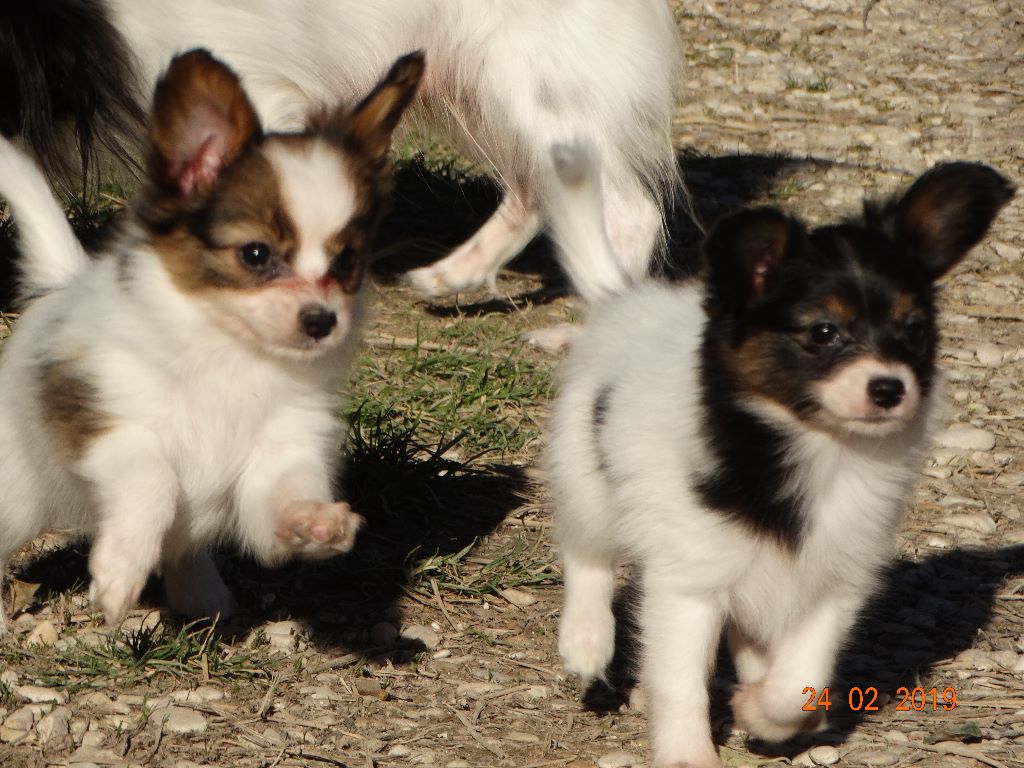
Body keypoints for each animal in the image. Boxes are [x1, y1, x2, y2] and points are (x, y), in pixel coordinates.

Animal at [0, 49, 423, 638]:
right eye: (255, 254)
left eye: (346, 262)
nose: (321, 320)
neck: (231, 356)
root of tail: (61, 284)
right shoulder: (105, 416)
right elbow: (152, 476)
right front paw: (121, 570)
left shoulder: (279, 451)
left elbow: (281, 500)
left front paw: (314, 521)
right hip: (17, 495)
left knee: (184, 545)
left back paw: (199, 593)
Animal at [548, 145, 1011, 768]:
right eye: (823, 332)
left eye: (914, 330)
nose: (890, 388)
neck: (817, 451)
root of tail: (624, 299)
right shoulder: (689, 583)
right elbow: (680, 681)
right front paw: (688, 753)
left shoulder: (834, 580)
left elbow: (797, 682)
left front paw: (761, 710)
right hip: (588, 473)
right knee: (587, 553)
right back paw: (587, 639)